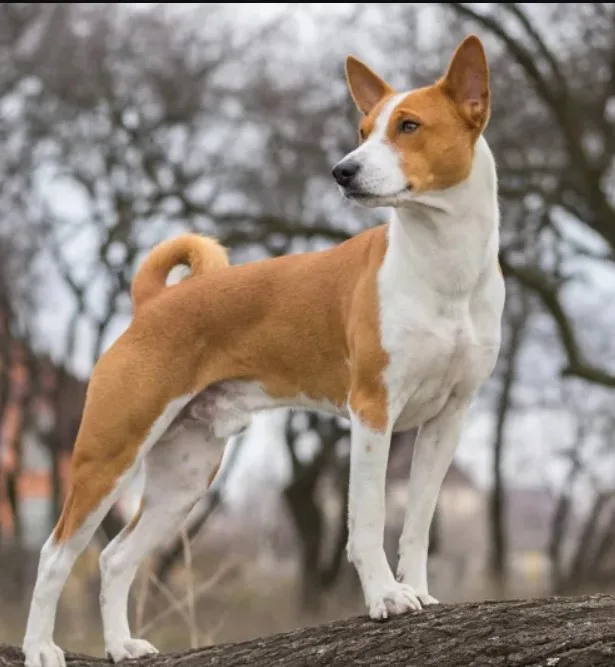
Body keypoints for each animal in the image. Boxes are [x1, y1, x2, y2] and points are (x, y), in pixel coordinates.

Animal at [22, 36, 506, 667]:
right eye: (362, 128)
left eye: (409, 125)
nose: (343, 170)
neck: (445, 269)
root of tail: (154, 301)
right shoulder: (372, 410)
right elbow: (369, 518)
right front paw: (385, 597)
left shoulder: (449, 416)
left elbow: (417, 524)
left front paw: (420, 592)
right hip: (109, 453)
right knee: (55, 555)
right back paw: (39, 648)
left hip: (186, 473)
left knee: (115, 556)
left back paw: (122, 646)